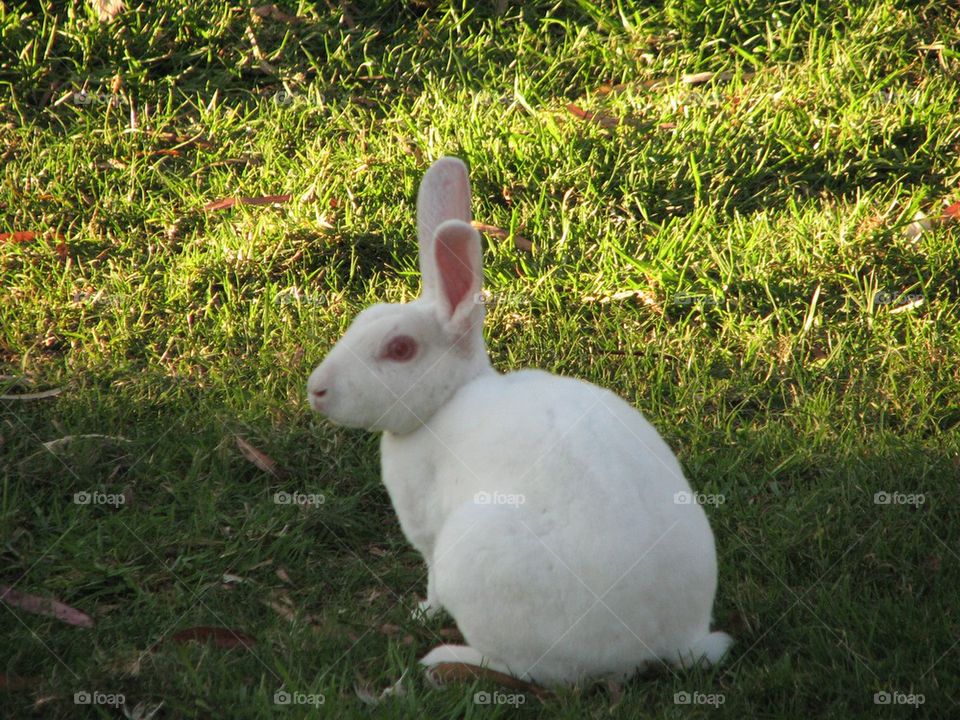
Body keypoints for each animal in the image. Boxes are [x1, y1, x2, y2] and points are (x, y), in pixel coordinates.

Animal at [306, 157, 731, 686]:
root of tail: (666, 642)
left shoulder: (429, 536)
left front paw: (422, 612)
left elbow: (431, 583)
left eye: (400, 349)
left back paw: (446, 657)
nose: (317, 390)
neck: (448, 400)